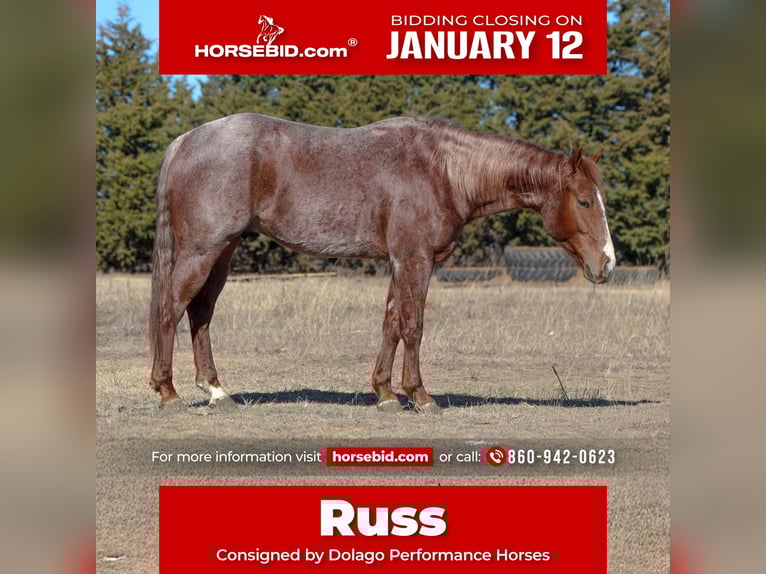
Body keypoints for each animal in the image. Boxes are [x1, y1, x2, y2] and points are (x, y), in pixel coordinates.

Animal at [149, 114, 615, 413]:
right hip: (203, 250)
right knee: (171, 309)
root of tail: (184, 141)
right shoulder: (415, 259)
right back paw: (168, 392)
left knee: (200, 313)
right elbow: (414, 325)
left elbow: (391, 322)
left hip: (222, 251)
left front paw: (386, 394)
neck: (442, 170)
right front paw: (421, 396)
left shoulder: (399, 261)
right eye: (584, 200)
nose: (608, 264)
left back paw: (216, 391)